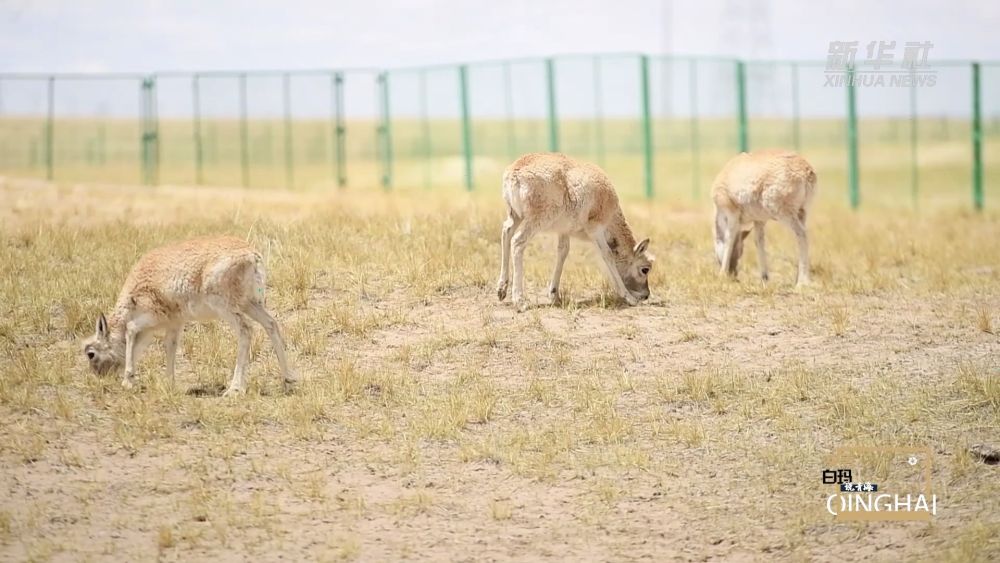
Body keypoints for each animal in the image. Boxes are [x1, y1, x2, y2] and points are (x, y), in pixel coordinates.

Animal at [84, 237, 294, 396]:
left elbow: (130, 330)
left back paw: (234, 388)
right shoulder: (174, 324)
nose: (97, 377)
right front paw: (169, 383)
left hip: (226, 307)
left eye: (90, 353)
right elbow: (169, 346)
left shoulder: (151, 317)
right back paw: (289, 379)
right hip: (250, 304)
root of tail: (252, 256)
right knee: (271, 324)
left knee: (246, 330)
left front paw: (128, 381)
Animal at [494, 153, 652, 308]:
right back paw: (519, 300)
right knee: (517, 242)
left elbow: (563, 252)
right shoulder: (596, 230)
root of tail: (514, 171)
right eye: (645, 269)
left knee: (506, 231)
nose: (646, 295)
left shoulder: (564, 231)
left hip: (515, 216)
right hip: (536, 220)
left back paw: (501, 289)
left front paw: (554, 295)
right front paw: (629, 298)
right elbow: (607, 255)